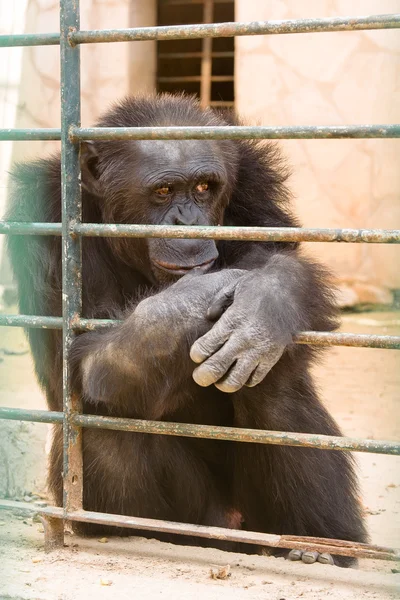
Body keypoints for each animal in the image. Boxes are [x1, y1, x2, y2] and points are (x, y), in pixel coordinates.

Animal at [7, 95, 368, 568]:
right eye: (163, 192)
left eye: (203, 188)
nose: (188, 220)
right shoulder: (42, 220)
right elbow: (78, 360)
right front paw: (194, 299)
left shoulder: (256, 185)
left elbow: (285, 264)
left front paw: (266, 302)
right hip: (200, 519)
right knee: (102, 424)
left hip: (254, 519)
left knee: (277, 383)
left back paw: (319, 545)